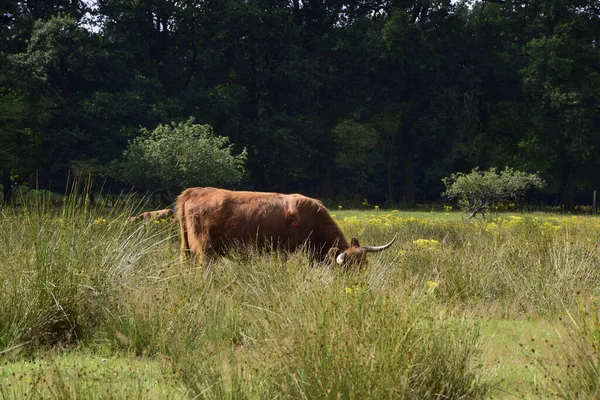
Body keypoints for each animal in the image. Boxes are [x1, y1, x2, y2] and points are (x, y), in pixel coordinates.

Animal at [176, 188, 396, 266]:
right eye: (349, 268)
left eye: (364, 265)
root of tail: (194, 191)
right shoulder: (286, 251)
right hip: (204, 251)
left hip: (186, 250)